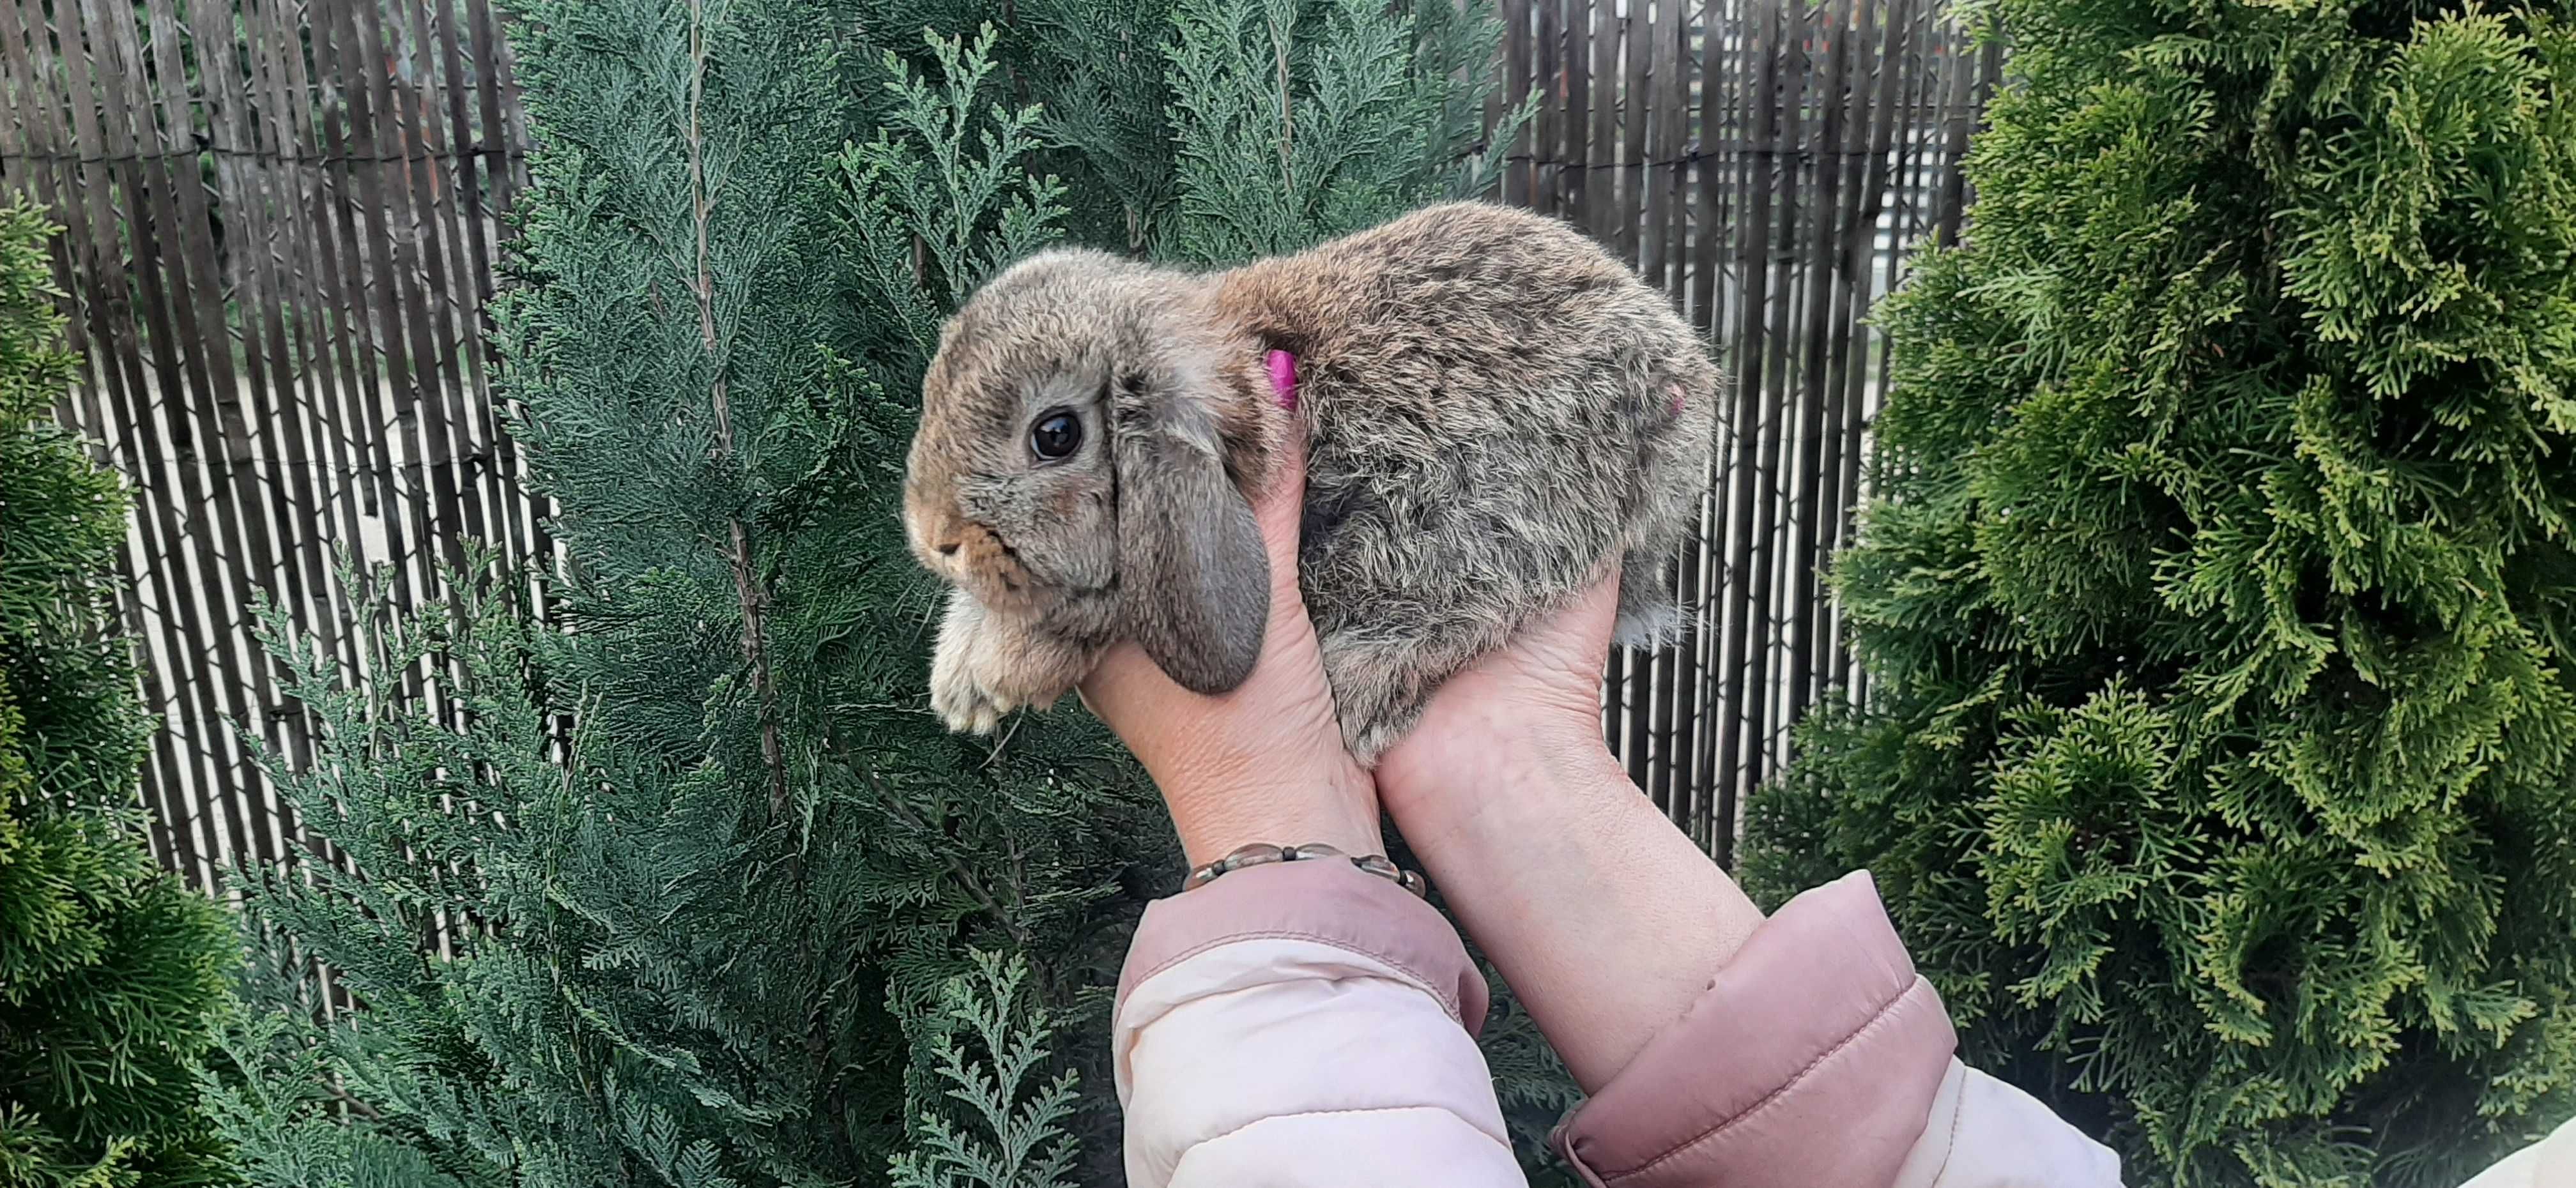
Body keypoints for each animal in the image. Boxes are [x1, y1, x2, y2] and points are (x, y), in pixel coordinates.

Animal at [901, 199, 1710, 763]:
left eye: (1056, 435)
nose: (934, 538)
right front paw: (961, 679)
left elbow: (1091, 612)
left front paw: (998, 671)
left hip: (1511, 530)